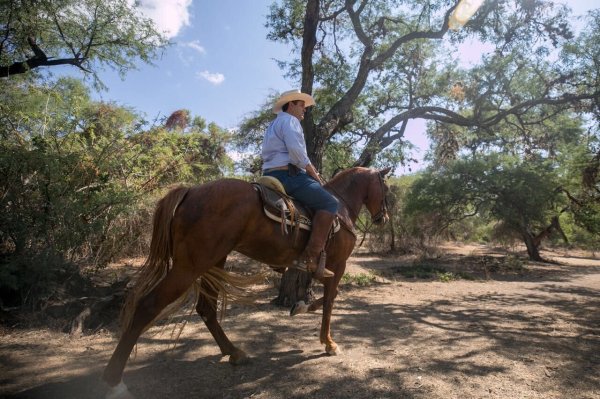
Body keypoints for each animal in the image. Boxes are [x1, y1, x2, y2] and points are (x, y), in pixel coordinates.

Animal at [102, 167, 394, 398]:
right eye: (386, 189)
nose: (384, 218)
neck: (340, 206)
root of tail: (190, 191)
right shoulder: (338, 266)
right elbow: (331, 301)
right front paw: (329, 343)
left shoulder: (323, 268)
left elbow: (321, 297)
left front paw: (300, 306)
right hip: (189, 267)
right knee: (148, 306)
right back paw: (114, 381)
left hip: (213, 261)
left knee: (206, 308)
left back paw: (233, 352)